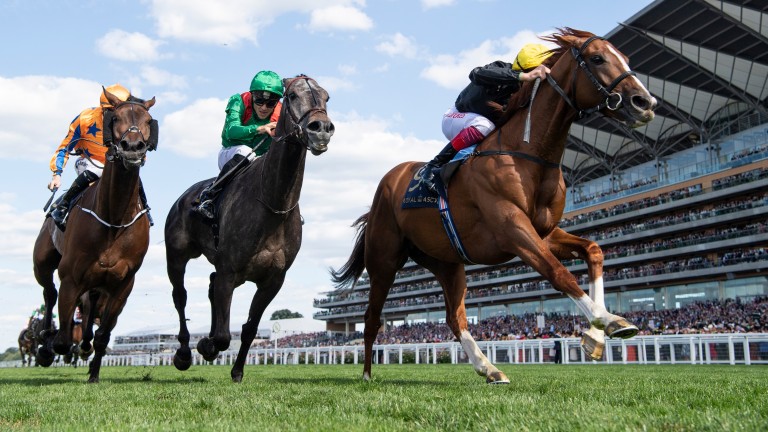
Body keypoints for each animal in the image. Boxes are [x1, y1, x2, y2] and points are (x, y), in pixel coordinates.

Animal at [31, 89, 156, 384]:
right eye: (116, 118)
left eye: (148, 120)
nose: (133, 147)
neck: (114, 219)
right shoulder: (70, 278)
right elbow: (63, 339)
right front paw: (48, 347)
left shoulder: (124, 284)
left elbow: (102, 336)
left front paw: (94, 374)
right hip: (42, 263)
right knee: (49, 292)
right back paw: (45, 338)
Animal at [166, 76, 334, 384]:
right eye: (292, 95)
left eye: (326, 97)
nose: (321, 130)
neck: (273, 204)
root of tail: (184, 197)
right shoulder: (230, 270)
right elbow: (223, 336)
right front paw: (206, 345)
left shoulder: (272, 280)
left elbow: (249, 329)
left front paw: (237, 371)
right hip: (177, 255)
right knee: (180, 296)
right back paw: (184, 352)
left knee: (210, 285)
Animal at [332, 28, 656, 384]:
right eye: (597, 58)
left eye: (625, 57)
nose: (645, 102)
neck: (529, 152)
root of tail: (386, 184)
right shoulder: (512, 228)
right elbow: (558, 273)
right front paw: (609, 321)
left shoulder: (544, 231)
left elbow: (594, 251)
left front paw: (596, 335)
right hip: (384, 260)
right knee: (372, 317)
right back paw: (366, 375)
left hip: (446, 261)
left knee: (455, 317)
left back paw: (488, 368)